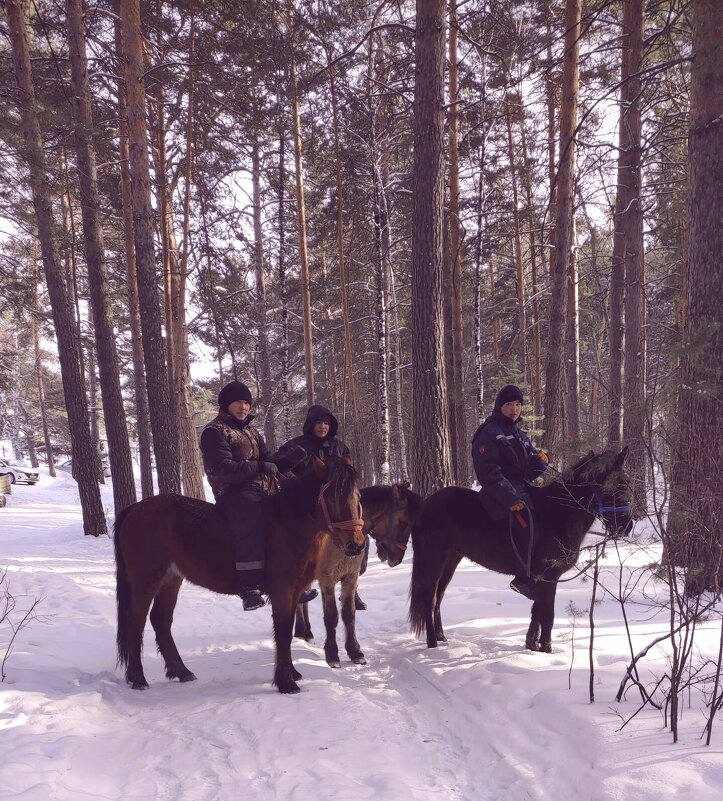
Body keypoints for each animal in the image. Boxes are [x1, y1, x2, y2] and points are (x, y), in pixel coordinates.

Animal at [115, 456, 364, 692]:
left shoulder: (295, 592)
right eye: (332, 497)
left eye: (356, 496)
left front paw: (292, 673)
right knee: (136, 622)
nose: (356, 545)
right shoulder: (283, 591)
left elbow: (286, 631)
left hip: (170, 579)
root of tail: (134, 509)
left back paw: (181, 671)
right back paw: (138, 678)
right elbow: (283, 631)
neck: (289, 525)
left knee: (161, 620)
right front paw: (286, 682)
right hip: (145, 581)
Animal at [294, 482, 428, 664]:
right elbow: (331, 615)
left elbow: (349, 614)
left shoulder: (351, 577)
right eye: (404, 522)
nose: (398, 559)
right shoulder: (327, 579)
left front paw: (354, 650)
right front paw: (332, 653)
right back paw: (301, 631)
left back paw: (306, 632)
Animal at [408, 446, 632, 652]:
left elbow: (537, 612)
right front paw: (546, 649)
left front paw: (532, 645)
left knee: (439, 597)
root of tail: (425, 506)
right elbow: (547, 616)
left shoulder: (540, 579)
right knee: (430, 598)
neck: (560, 514)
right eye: (615, 486)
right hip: (435, 559)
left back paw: (442, 638)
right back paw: (432, 644)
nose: (626, 527)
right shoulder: (549, 577)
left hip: (451, 560)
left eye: (626, 484)